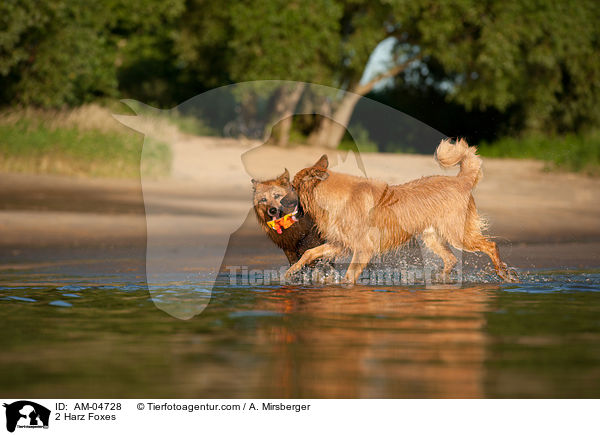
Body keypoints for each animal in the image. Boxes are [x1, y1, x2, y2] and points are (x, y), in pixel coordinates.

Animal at [284, 138, 516, 284]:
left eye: (293, 187)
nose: (278, 203)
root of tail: (461, 180)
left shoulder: (363, 249)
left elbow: (349, 276)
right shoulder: (340, 243)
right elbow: (309, 252)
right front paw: (290, 273)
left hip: (457, 235)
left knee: (491, 245)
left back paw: (503, 274)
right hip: (431, 237)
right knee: (450, 259)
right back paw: (440, 280)